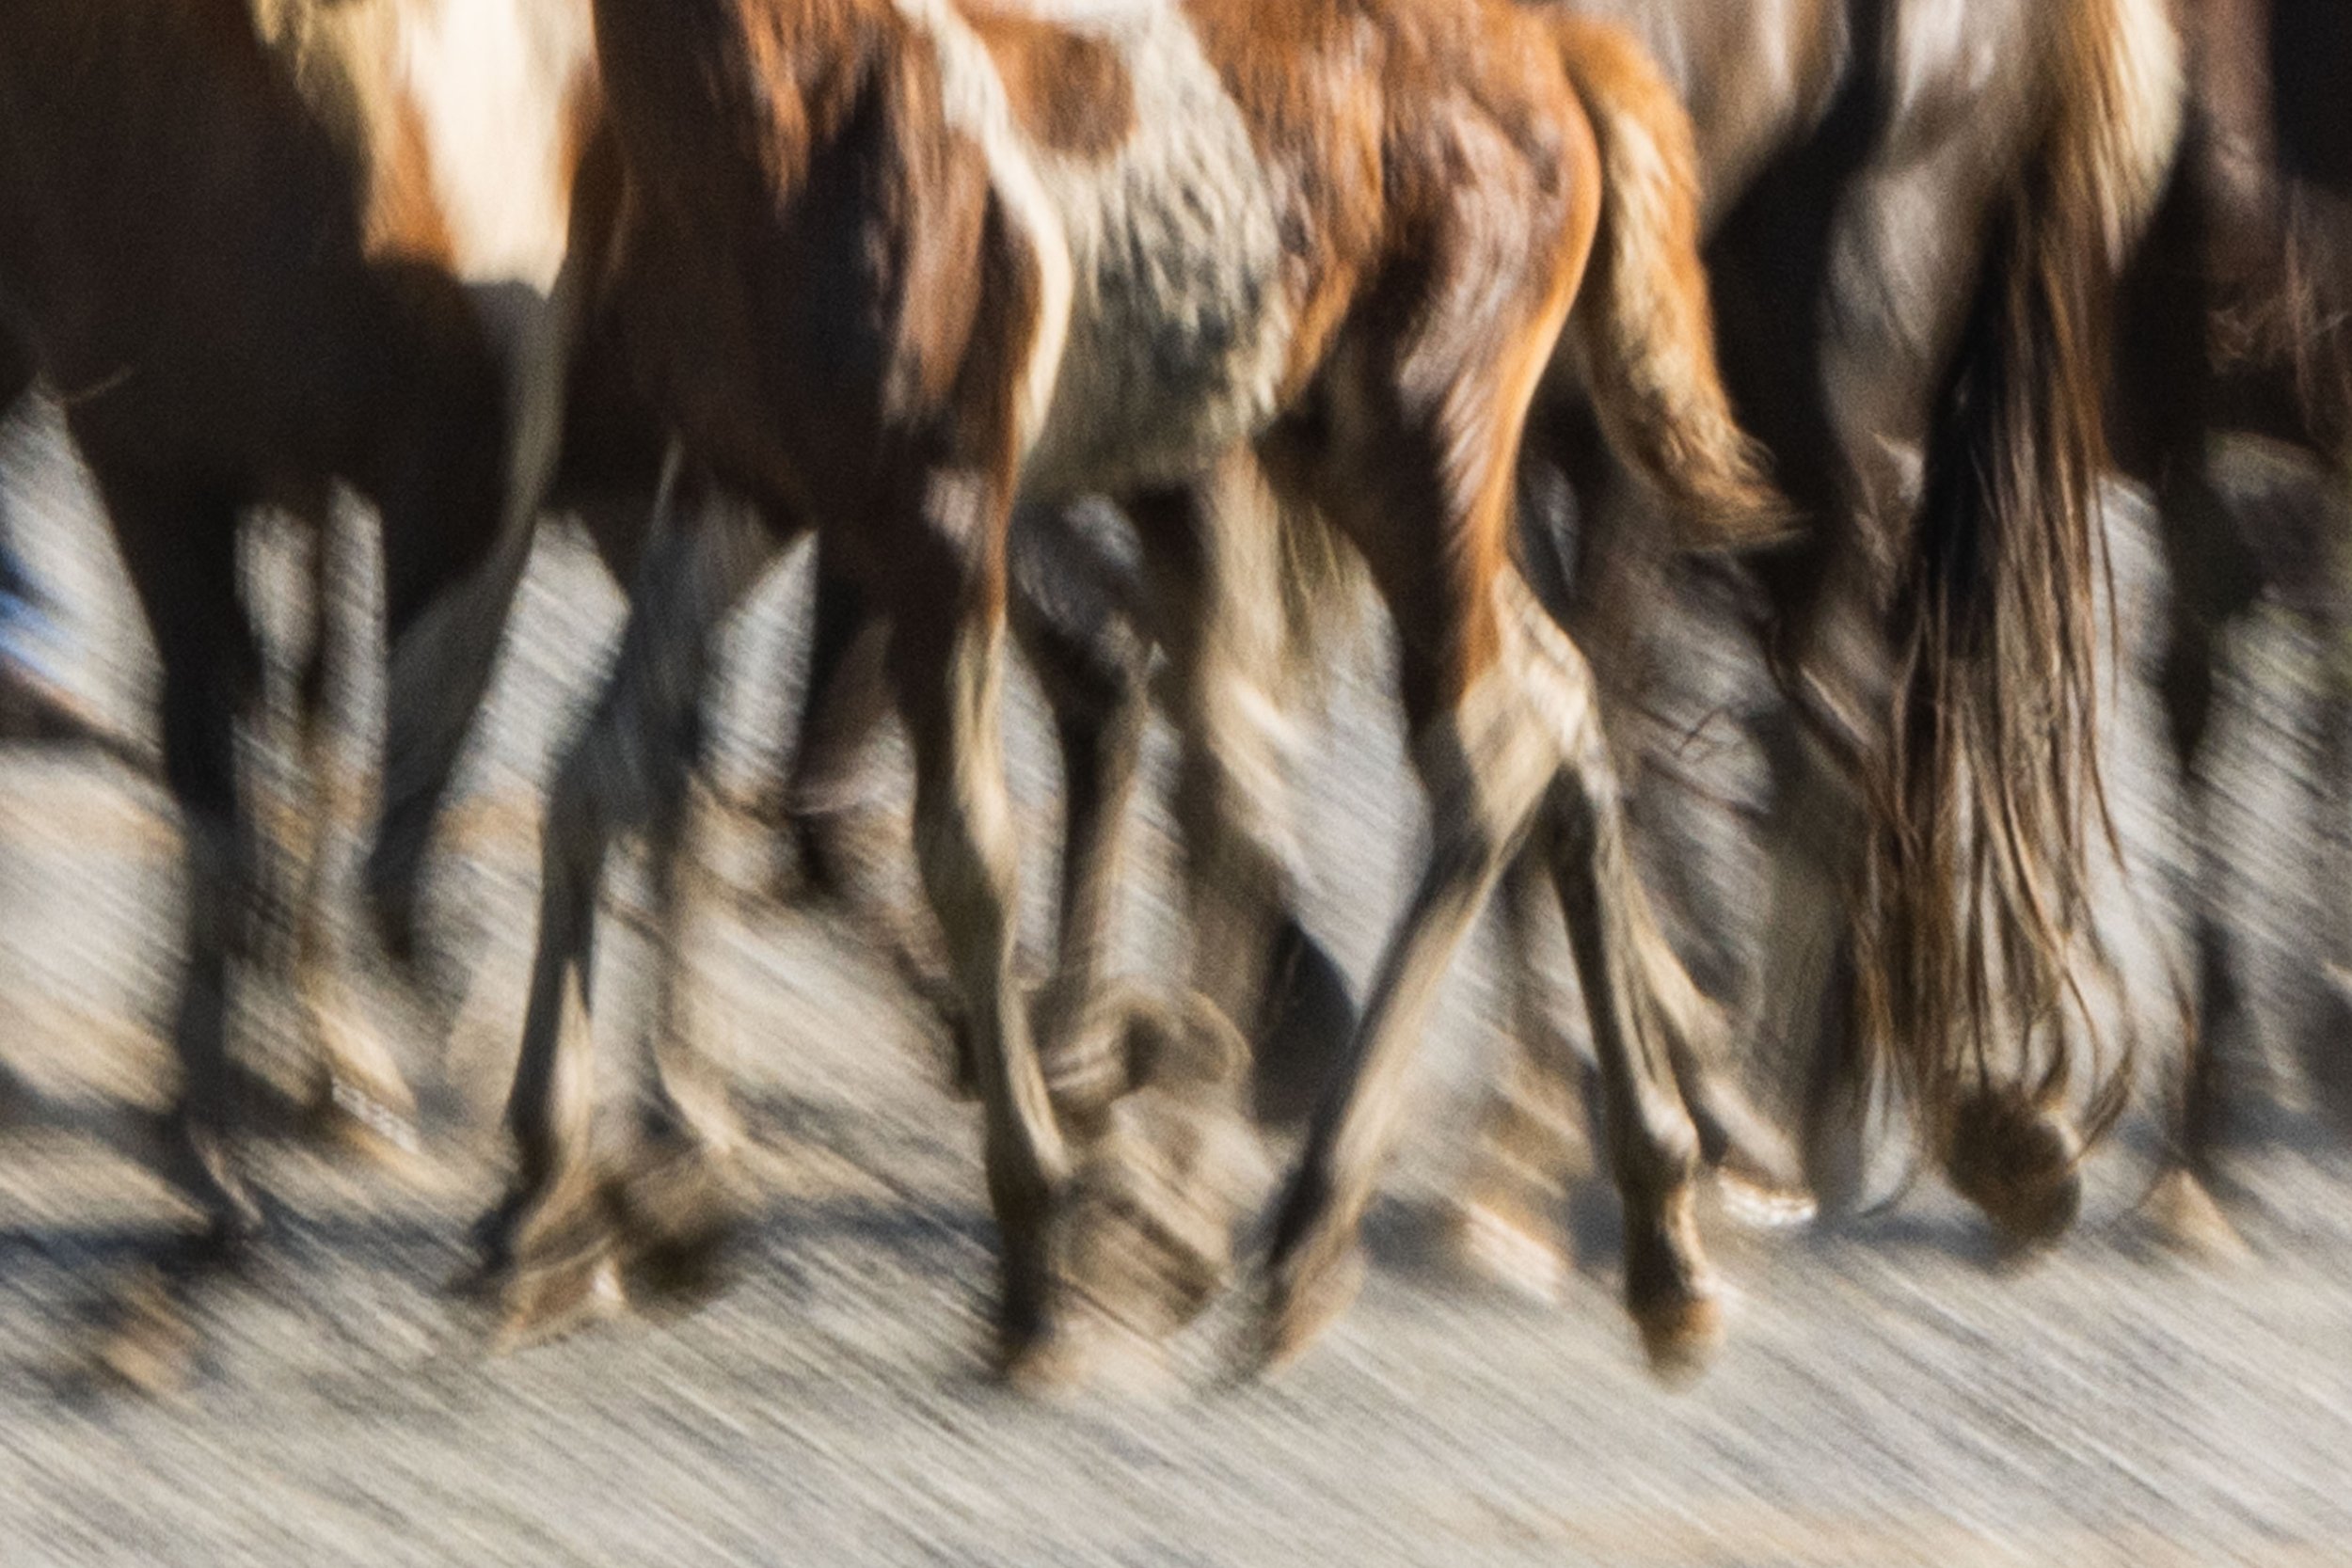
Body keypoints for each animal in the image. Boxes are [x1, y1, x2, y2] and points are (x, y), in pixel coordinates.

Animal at [496, 0, 1778, 1382]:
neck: (795, 102)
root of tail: (1557, 54)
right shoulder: (742, 482)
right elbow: (596, 772)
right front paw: (541, 1211)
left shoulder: (943, 511)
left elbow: (969, 851)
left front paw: (1031, 1254)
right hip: (1327, 454)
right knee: (1550, 694)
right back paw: (1661, 1233)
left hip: (1428, 443)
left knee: (1478, 742)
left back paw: (1311, 1226)